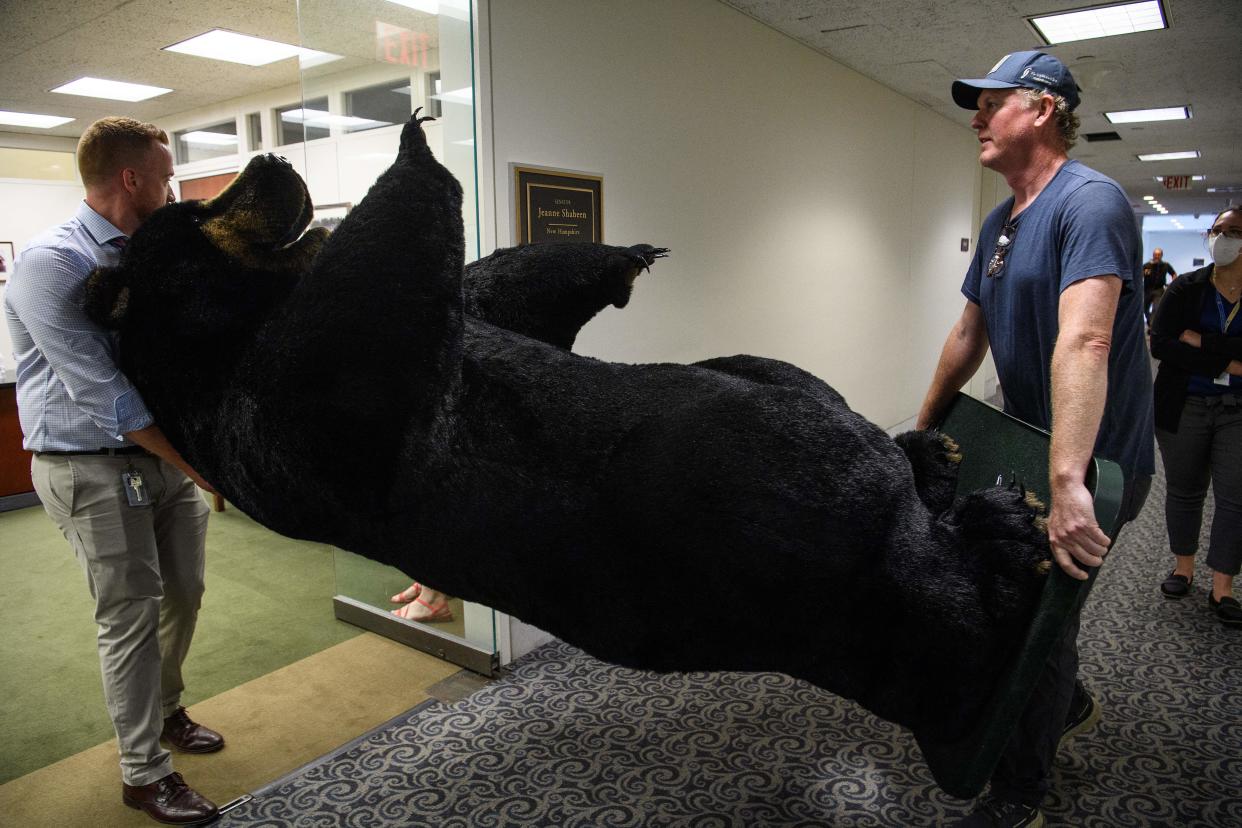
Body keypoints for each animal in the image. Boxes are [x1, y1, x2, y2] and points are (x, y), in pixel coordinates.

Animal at [87, 111, 1053, 744]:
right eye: (196, 208)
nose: (268, 158)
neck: (231, 323)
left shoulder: (451, 330)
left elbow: (492, 293)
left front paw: (620, 256)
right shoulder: (281, 421)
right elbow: (361, 339)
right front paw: (415, 142)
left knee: (789, 391)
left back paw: (934, 455)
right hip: (784, 548)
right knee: (939, 618)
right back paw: (997, 532)